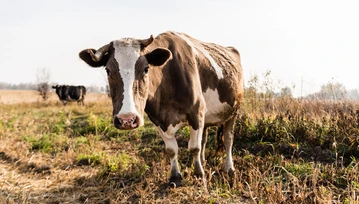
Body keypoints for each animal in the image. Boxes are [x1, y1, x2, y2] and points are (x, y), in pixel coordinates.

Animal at [79, 31, 245, 186]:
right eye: (108, 70)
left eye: (146, 69)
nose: (127, 119)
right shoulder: (158, 119)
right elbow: (172, 149)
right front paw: (175, 176)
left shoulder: (196, 112)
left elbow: (194, 147)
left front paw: (199, 175)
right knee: (204, 139)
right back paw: (204, 161)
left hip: (234, 111)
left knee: (228, 139)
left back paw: (229, 168)